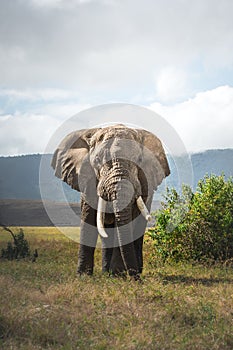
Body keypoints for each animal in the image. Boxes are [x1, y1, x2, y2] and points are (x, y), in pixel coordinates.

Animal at [52, 123, 170, 278]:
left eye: (139, 160)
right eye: (97, 161)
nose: (136, 279)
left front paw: (118, 275)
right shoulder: (87, 180)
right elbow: (89, 218)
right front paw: (83, 277)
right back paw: (107, 272)